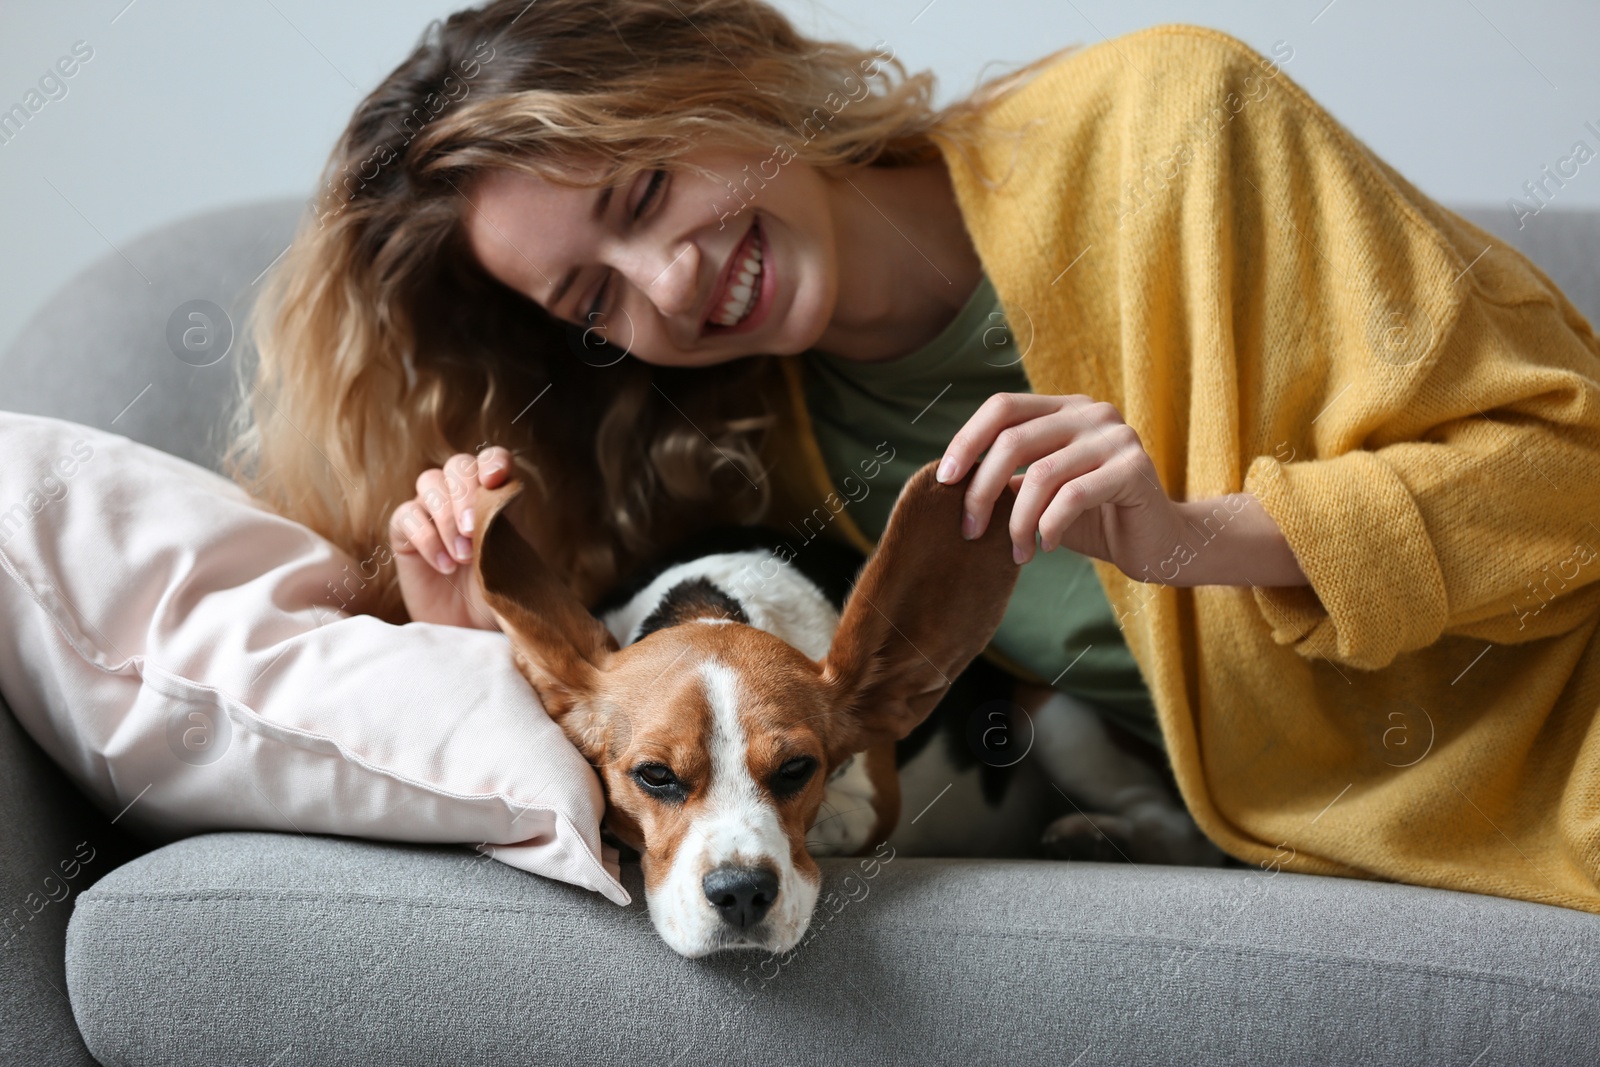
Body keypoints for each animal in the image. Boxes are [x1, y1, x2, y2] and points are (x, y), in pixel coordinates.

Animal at [467, 460, 1216, 959]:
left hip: (1055, 719)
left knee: (1173, 827)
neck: (717, 601)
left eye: (799, 769)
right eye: (655, 776)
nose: (742, 894)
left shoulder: (870, 802)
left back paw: (1092, 838)